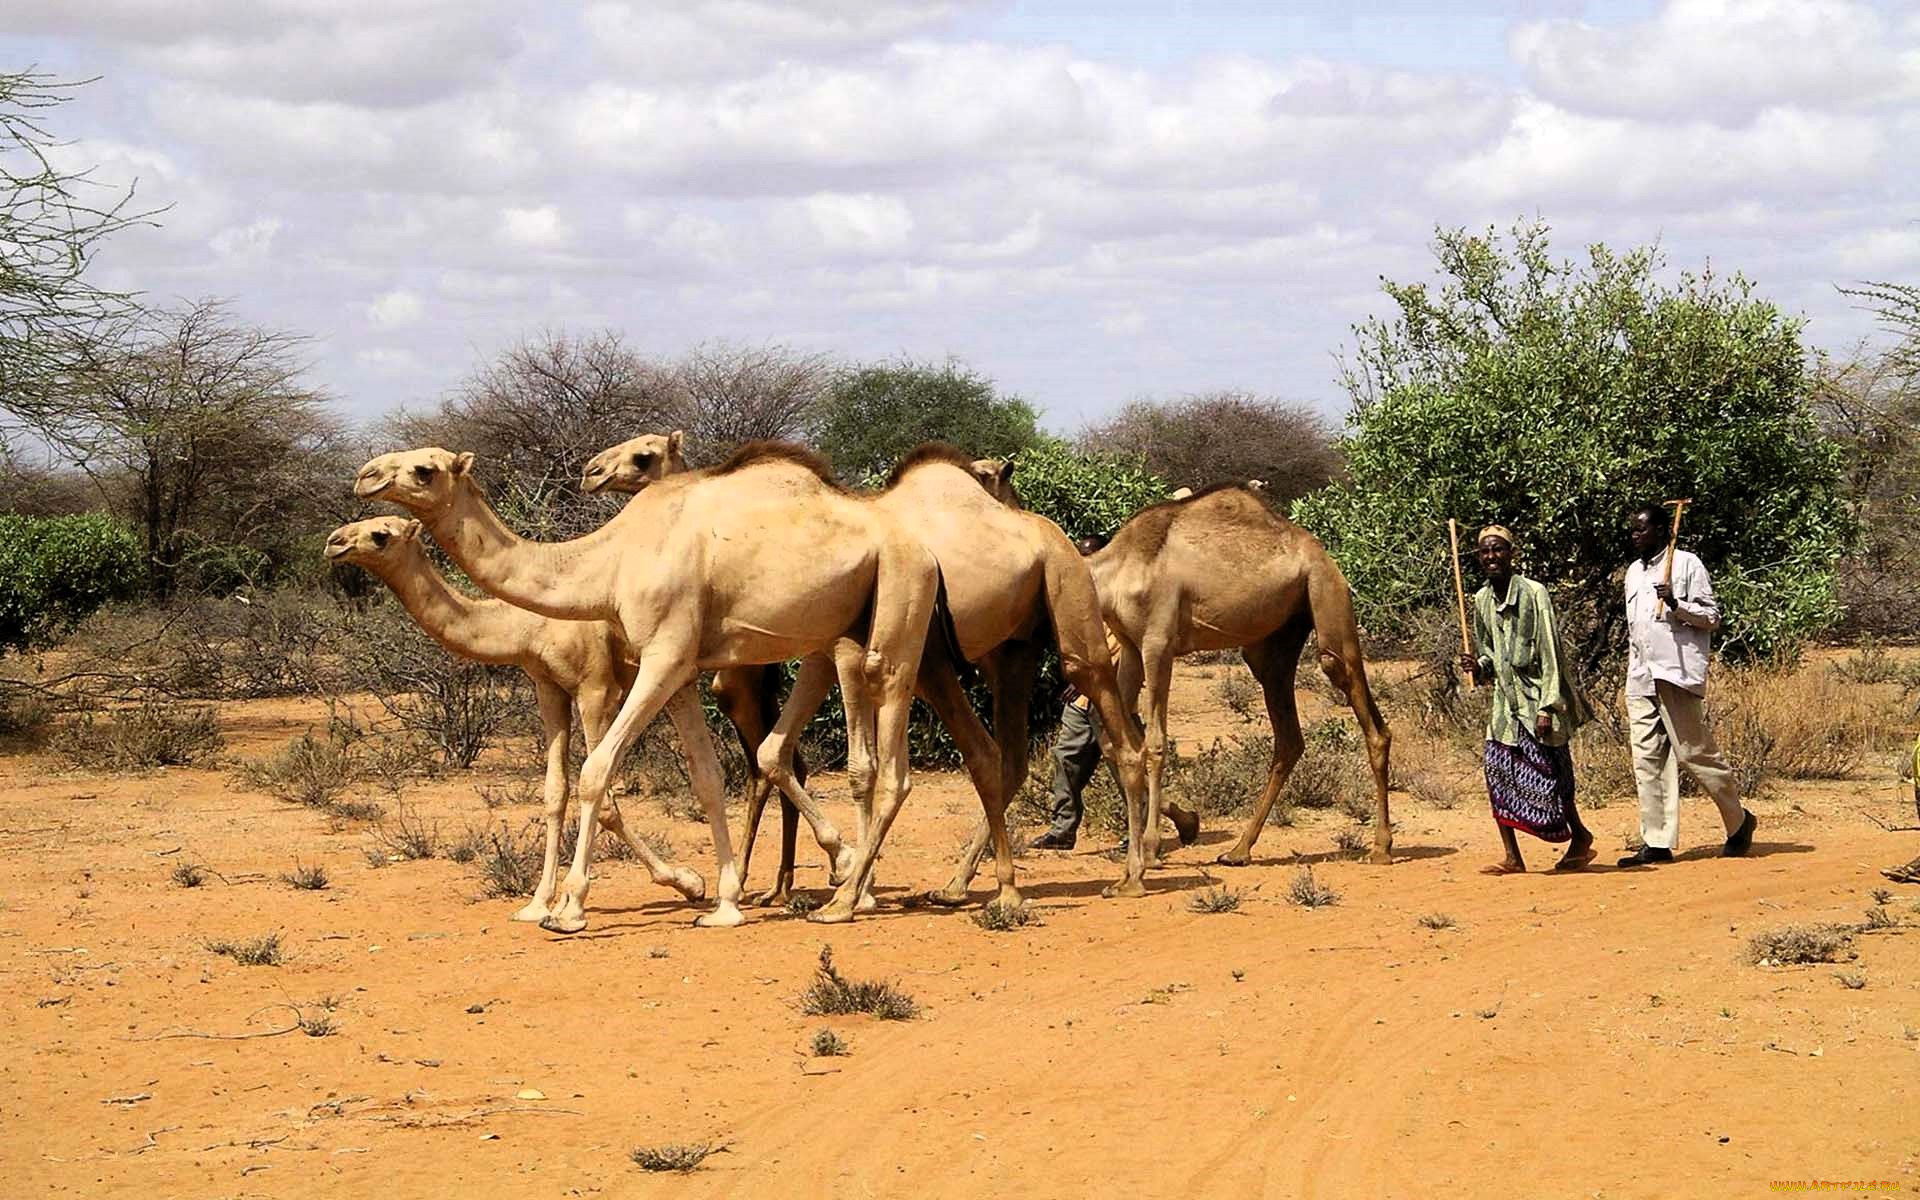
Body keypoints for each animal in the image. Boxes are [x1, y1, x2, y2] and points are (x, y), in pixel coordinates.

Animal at [326, 514, 710, 917]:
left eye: (380, 535)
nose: (334, 542)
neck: (524, 625)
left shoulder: (596, 688)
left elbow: (605, 800)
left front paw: (689, 882)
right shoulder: (547, 685)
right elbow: (555, 792)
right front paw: (538, 903)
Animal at [583, 437, 1190, 898]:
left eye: (643, 457)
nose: (592, 471)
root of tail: (1052, 535)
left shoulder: (844, 654)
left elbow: (857, 767)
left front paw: (855, 879)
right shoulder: (826, 655)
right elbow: (781, 758)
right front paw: (834, 875)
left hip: (1070, 614)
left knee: (1116, 732)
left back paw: (1133, 874)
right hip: (1008, 651)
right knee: (1005, 755)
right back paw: (960, 885)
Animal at [1090, 481, 1390, 864]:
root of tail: (1326, 556)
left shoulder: (1157, 644)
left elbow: (1155, 743)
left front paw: (1153, 844)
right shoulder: (1129, 646)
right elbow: (1111, 741)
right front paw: (1181, 824)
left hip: (1327, 597)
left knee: (1361, 706)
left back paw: (1381, 847)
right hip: (1275, 642)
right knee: (1289, 737)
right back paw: (1239, 849)